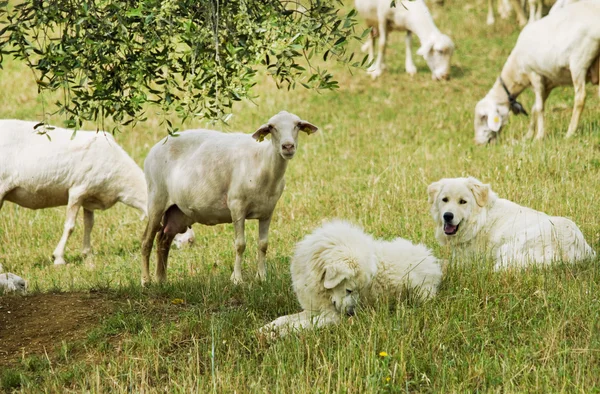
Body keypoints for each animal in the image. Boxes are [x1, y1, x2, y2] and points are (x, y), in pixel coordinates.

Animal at [0, 118, 148, 264]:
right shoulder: (78, 191)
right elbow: (70, 226)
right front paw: (59, 258)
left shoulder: (89, 197)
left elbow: (89, 224)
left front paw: (88, 255)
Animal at [141, 111, 318, 286]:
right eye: (271, 127)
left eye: (297, 125)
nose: (288, 146)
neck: (262, 162)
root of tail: (154, 148)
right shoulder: (237, 206)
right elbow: (240, 245)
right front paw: (237, 279)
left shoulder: (267, 211)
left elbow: (263, 245)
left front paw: (262, 277)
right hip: (156, 198)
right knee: (146, 241)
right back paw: (146, 281)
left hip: (177, 212)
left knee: (163, 239)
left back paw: (161, 279)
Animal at [260, 220, 442, 338]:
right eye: (348, 290)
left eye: (356, 291)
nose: (351, 313)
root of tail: (431, 259)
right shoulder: (314, 309)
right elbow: (285, 318)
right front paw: (267, 329)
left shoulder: (331, 315)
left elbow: (301, 324)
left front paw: (280, 333)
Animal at [426, 177, 596, 270]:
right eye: (445, 199)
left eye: (463, 201)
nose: (447, 216)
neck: (481, 220)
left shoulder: (463, 260)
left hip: (510, 246)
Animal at [474, 0, 600, 145]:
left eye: (483, 117)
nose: (477, 143)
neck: (516, 70)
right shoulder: (549, 82)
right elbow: (534, 108)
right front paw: (528, 136)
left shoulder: (535, 75)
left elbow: (539, 109)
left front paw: (539, 137)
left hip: (578, 62)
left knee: (580, 98)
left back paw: (570, 132)